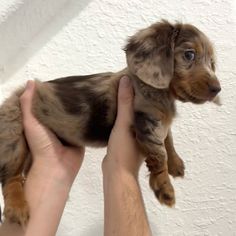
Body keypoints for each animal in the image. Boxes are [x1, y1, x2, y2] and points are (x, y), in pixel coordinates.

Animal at [0, 20, 221, 225]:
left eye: (211, 62)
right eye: (189, 55)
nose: (217, 89)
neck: (161, 93)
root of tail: (14, 95)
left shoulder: (161, 123)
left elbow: (169, 140)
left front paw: (176, 163)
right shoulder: (147, 122)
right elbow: (159, 154)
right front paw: (165, 187)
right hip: (14, 136)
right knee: (10, 178)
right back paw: (17, 208)